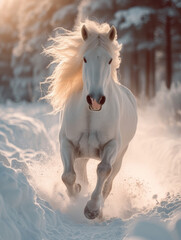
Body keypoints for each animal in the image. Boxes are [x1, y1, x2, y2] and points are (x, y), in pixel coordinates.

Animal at [45, 20, 137, 219]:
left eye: (109, 60)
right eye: (85, 58)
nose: (95, 99)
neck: (90, 116)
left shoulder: (112, 145)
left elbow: (103, 170)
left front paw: (92, 209)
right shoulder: (66, 143)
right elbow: (68, 176)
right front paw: (75, 197)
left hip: (121, 155)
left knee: (108, 184)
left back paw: (100, 209)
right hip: (82, 155)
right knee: (81, 173)